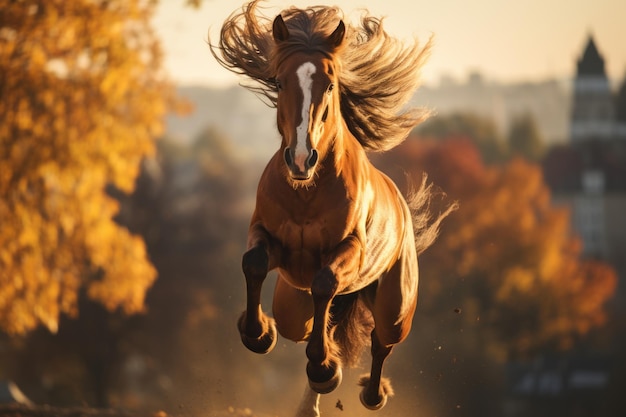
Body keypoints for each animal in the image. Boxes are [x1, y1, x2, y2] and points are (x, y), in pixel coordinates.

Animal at [211, 1, 454, 414]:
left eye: (329, 85)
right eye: (279, 82)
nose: (300, 159)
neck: (306, 192)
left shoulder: (350, 249)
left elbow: (325, 282)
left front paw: (324, 367)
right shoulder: (265, 233)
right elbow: (254, 262)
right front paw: (258, 333)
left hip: (395, 308)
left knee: (380, 341)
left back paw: (369, 392)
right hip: (293, 302)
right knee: (310, 326)